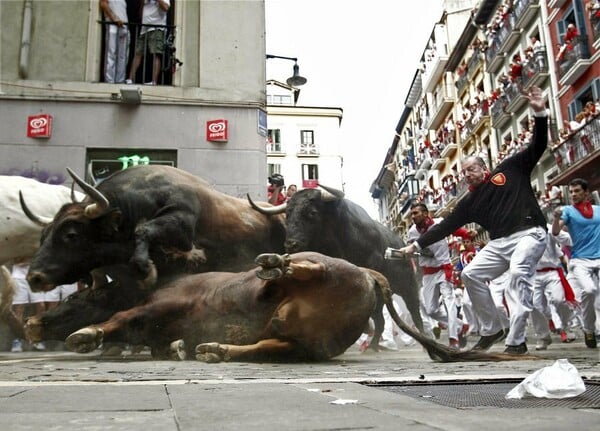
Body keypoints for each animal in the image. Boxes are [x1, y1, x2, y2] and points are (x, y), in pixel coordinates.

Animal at [19, 166, 288, 294]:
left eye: (71, 234)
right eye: (43, 235)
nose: (34, 277)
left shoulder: (182, 224)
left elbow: (145, 231)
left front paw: (146, 268)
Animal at [246, 187, 424, 350]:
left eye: (312, 212)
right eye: (288, 214)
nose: (291, 244)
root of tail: (401, 244)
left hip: (408, 286)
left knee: (413, 311)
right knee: (382, 319)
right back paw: (373, 345)